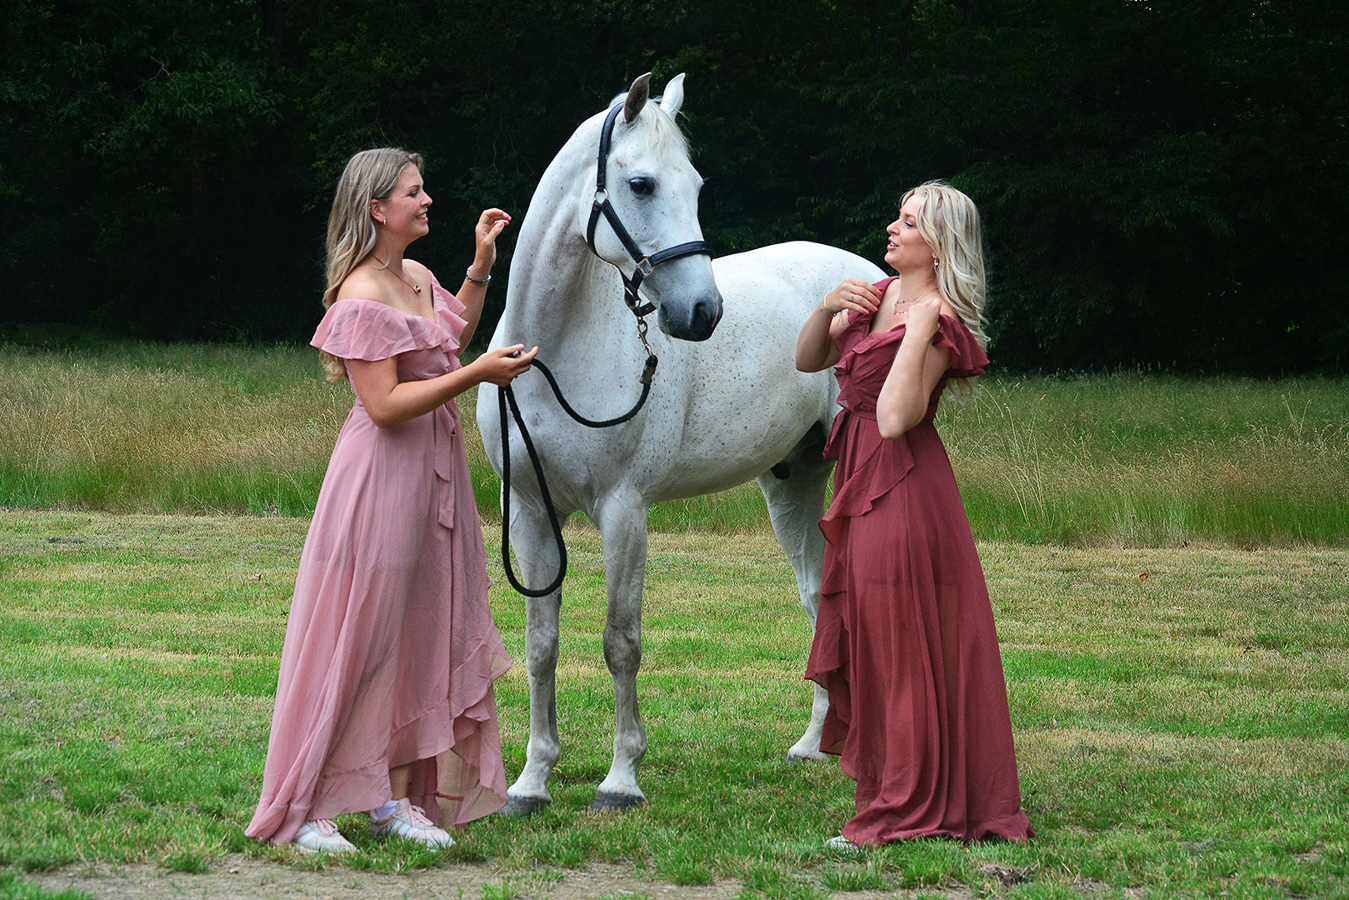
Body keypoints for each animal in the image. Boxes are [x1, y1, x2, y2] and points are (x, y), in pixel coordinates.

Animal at [477, 73, 884, 814]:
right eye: (640, 184)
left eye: (694, 185)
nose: (700, 313)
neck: (558, 353)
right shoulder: (527, 509)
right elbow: (541, 643)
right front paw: (532, 780)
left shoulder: (623, 510)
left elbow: (621, 640)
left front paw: (620, 780)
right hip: (794, 482)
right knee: (820, 598)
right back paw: (813, 743)